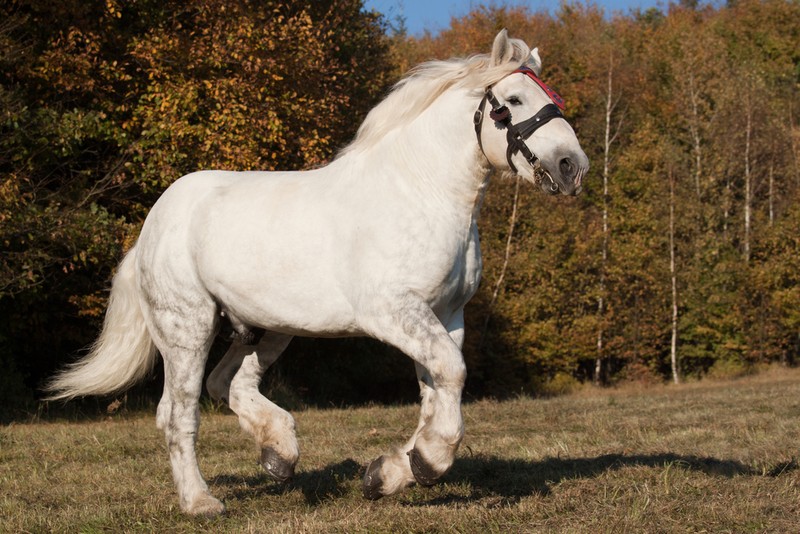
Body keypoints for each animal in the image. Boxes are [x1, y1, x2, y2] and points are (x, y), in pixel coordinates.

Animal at [46, 30, 589, 516]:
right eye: (512, 101)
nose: (572, 166)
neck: (421, 192)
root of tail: (151, 227)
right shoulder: (393, 311)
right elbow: (451, 377)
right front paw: (425, 463)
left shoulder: (446, 316)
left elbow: (437, 391)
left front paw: (389, 473)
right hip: (188, 328)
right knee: (178, 414)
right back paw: (201, 502)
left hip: (268, 328)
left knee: (229, 385)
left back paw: (280, 455)